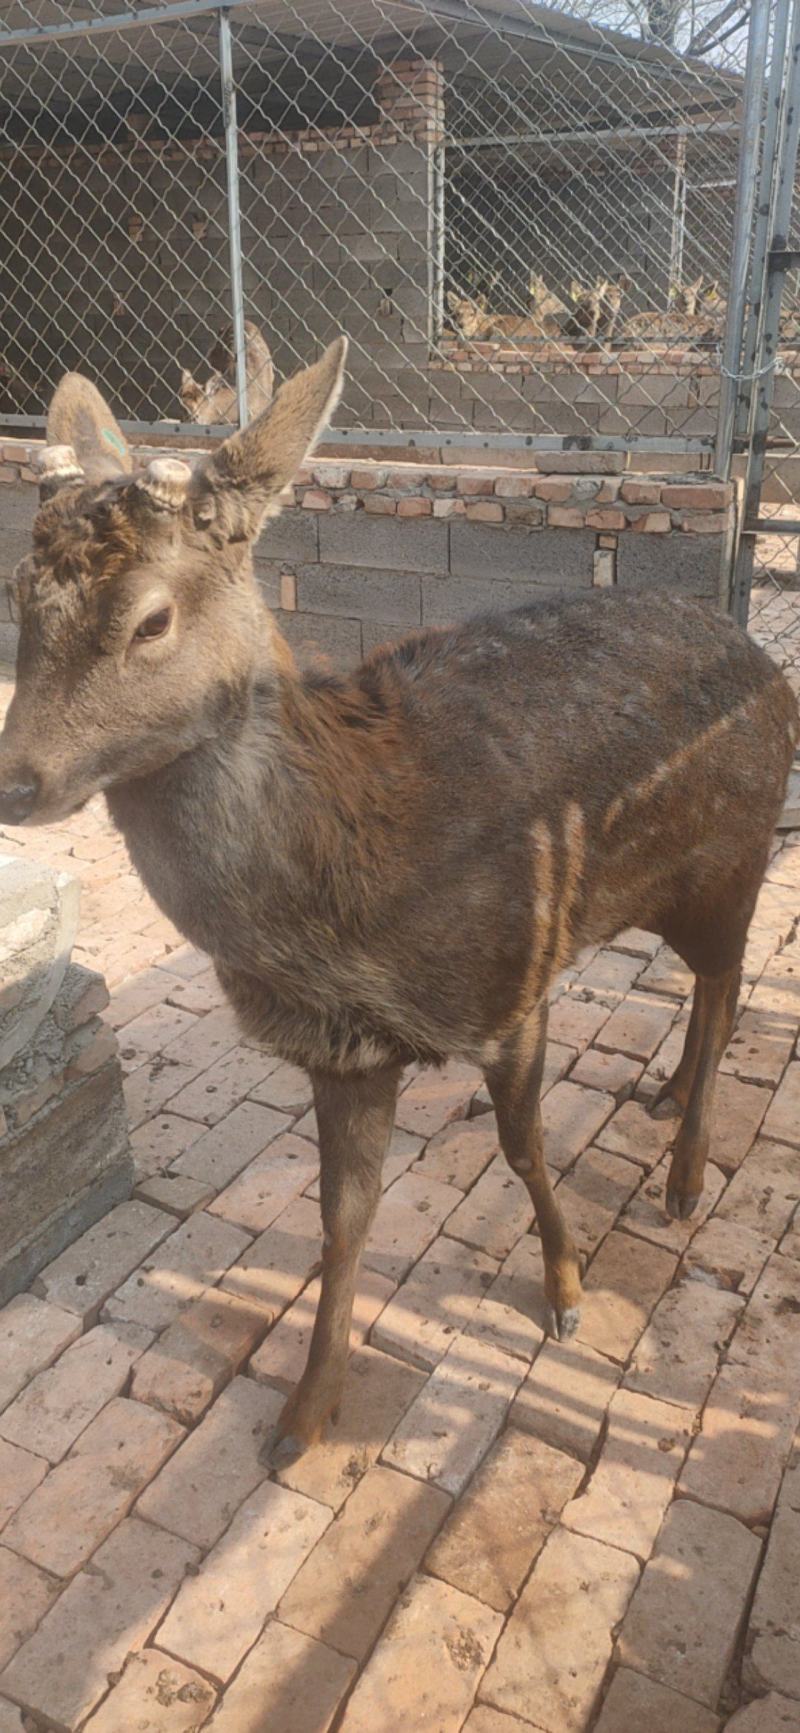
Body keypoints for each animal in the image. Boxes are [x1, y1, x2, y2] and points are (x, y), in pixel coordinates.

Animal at [0, 338, 795, 1466]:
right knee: (705, 994)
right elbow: (342, 1219)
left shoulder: (515, 982)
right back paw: (666, 1095)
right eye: (20, 588)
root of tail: (768, 662)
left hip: (732, 858)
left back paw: (685, 1177)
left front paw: (565, 1289)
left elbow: (524, 1146)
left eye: (152, 618)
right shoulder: (345, 1054)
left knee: (728, 989)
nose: (15, 782)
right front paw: (302, 1413)